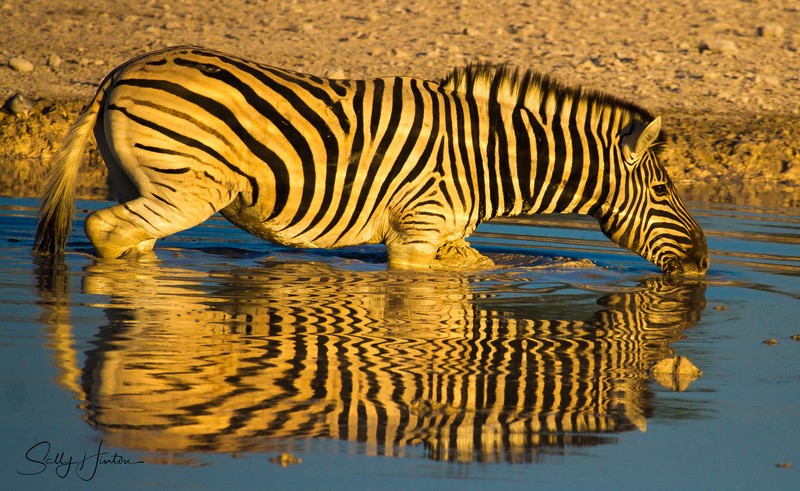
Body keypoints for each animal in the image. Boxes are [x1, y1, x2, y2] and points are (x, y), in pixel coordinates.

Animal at [33, 46, 708, 274]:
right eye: (664, 192)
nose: (704, 262)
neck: (488, 160)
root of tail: (120, 72)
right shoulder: (418, 231)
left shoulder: (446, 233)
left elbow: (485, 271)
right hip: (187, 187)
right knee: (105, 230)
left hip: (144, 182)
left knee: (130, 235)